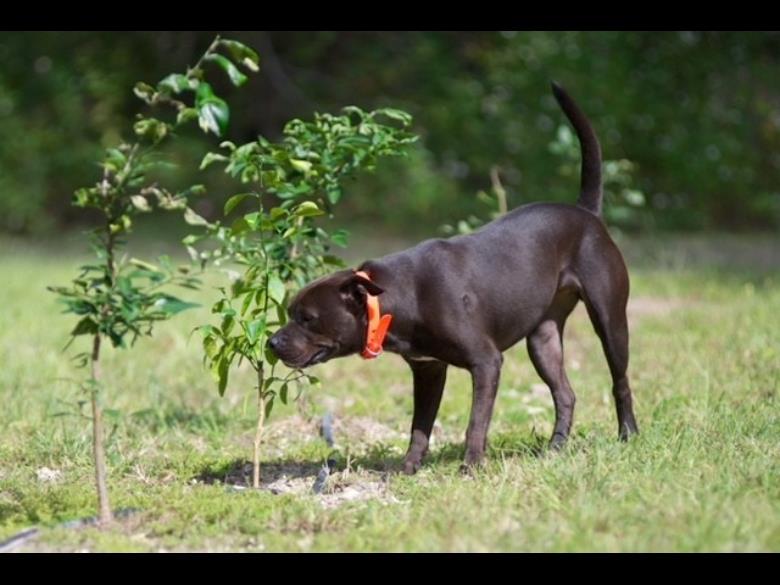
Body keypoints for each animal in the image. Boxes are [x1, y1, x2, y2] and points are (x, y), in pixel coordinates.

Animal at [268, 83, 640, 474]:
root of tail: (586, 214)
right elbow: (419, 428)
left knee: (620, 381)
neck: (400, 296)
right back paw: (555, 448)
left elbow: (475, 422)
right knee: (565, 393)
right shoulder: (428, 371)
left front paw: (471, 467)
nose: (272, 343)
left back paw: (628, 434)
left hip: (610, 321)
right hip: (543, 340)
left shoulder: (486, 363)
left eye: (307, 318)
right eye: (290, 313)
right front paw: (408, 469)